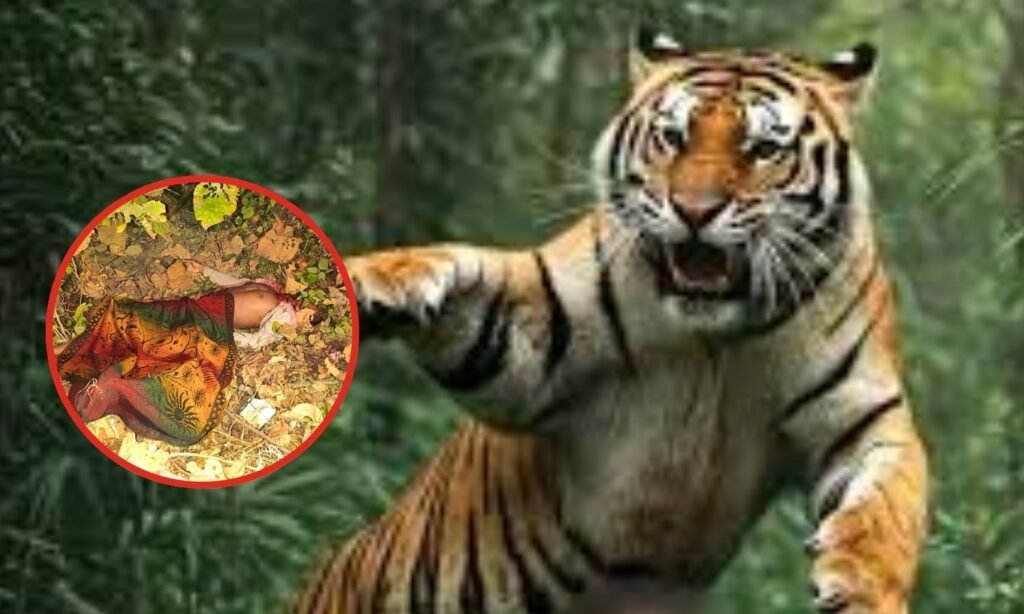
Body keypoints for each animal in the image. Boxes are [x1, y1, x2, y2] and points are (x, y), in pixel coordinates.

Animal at [296, 28, 928, 614]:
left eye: (762, 148)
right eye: (673, 137)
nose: (695, 211)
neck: (717, 339)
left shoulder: (865, 414)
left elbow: (889, 506)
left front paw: (862, 587)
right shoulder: (530, 348)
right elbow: (460, 273)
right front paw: (369, 285)